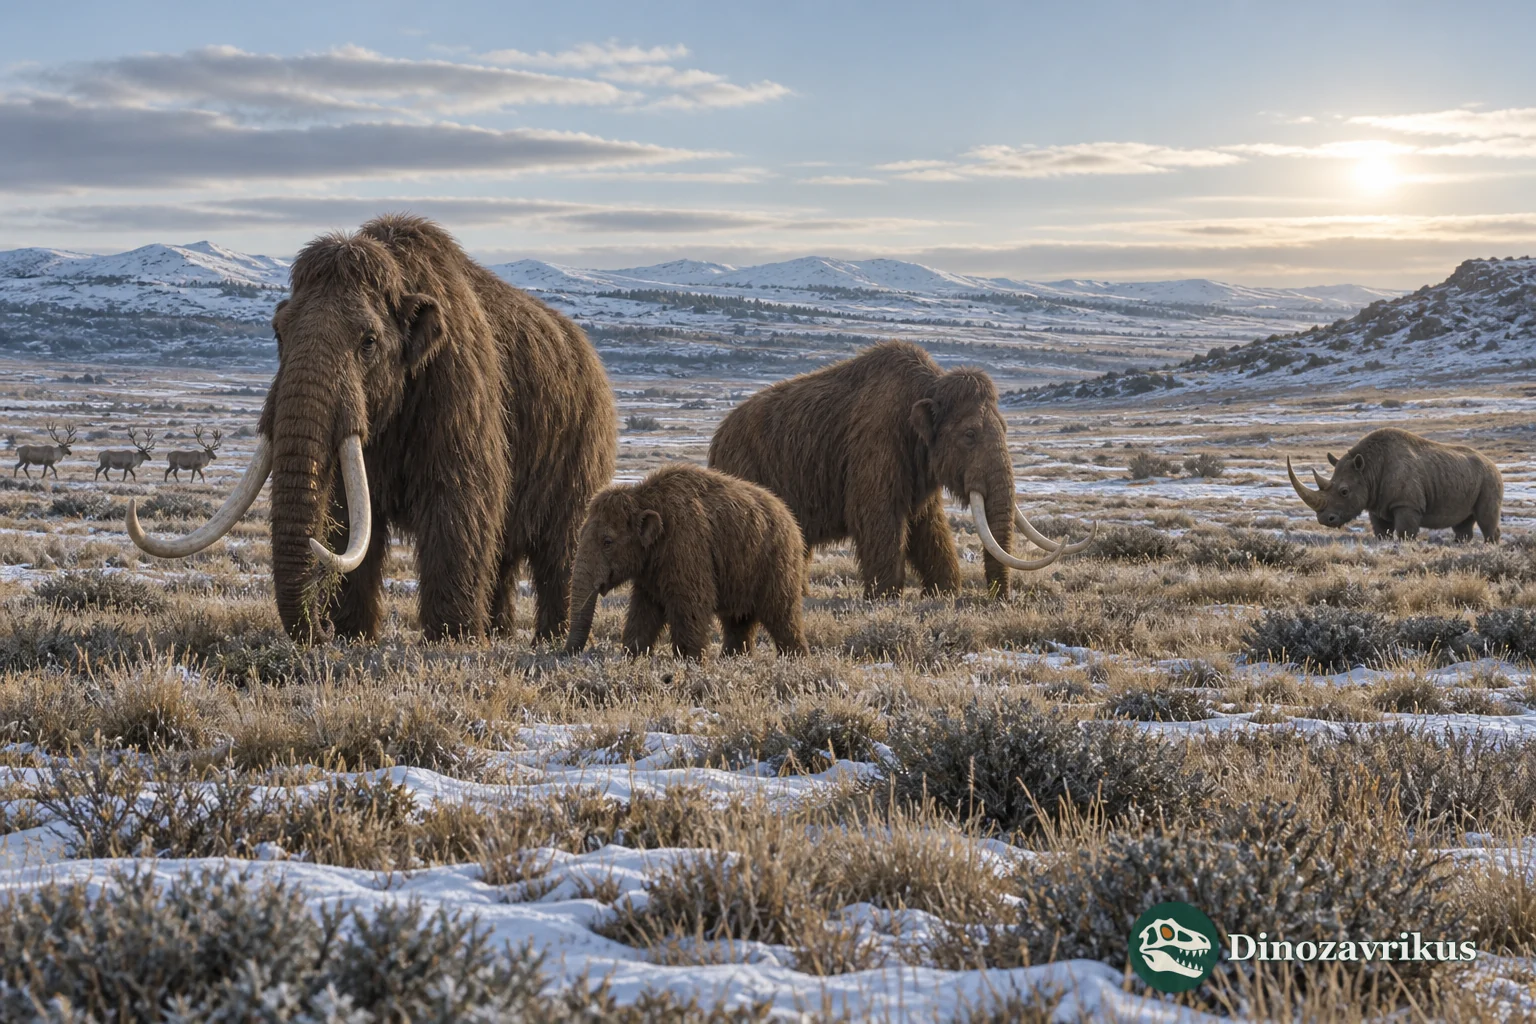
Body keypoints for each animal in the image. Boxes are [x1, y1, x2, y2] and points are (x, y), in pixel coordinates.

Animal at [1288, 427, 1502, 542]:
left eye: (1344, 491)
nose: (1324, 520)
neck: (1367, 469)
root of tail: (1494, 465)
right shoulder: (1376, 503)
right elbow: (1382, 532)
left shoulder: (1407, 504)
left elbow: (1405, 532)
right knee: (1462, 524)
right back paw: (1460, 544)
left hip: (1490, 479)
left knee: (1486, 519)